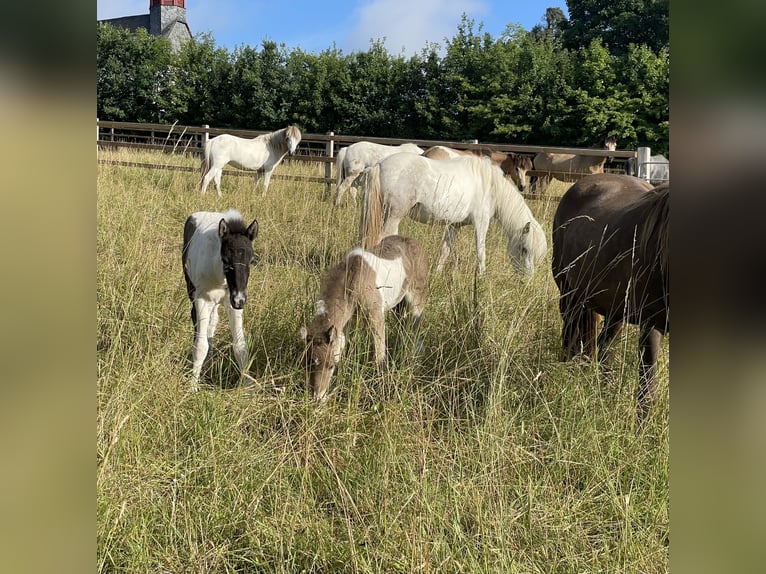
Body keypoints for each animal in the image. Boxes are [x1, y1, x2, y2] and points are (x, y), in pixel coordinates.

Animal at [182, 209, 259, 390]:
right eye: (225, 259)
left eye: (251, 261)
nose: (240, 300)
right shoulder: (202, 300)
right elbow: (200, 345)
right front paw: (193, 386)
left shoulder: (231, 304)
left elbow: (240, 346)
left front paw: (246, 387)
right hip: (192, 290)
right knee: (196, 321)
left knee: (213, 322)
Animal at [300, 235, 429, 401]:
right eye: (307, 363)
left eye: (331, 365)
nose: (318, 397)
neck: (352, 278)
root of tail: (416, 243)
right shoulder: (347, 321)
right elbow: (344, 343)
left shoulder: (376, 315)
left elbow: (379, 351)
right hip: (398, 306)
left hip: (417, 299)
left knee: (414, 328)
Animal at [359, 153, 547, 277]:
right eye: (524, 249)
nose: (527, 279)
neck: (490, 185)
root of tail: (379, 165)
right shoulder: (481, 223)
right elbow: (481, 252)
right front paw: (482, 277)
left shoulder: (454, 225)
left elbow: (445, 250)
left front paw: (437, 274)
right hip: (393, 216)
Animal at [551, 173, 669, 420]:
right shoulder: (651, 324)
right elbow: (648, 384)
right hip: (569, 295)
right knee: (571, 335)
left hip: (614, 311)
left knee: (605, 347)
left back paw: (606, 392)